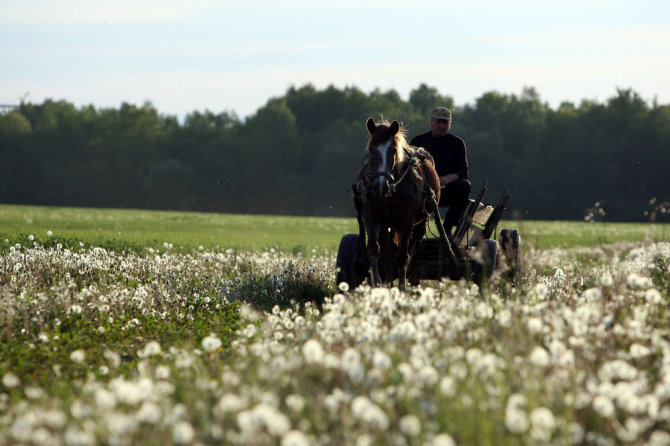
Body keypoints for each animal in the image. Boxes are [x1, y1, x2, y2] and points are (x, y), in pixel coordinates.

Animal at [354, 117, 444, 290]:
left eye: (394, 150)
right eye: (371, 150)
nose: (380, 186)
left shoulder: (407, 222)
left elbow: (403, 255)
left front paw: (403, 287)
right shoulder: (372, 218)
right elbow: (374, 251)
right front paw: (378, 284)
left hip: (421, 221)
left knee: (413, 250)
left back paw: (411, 282)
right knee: (387, 251)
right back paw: (389, 283)